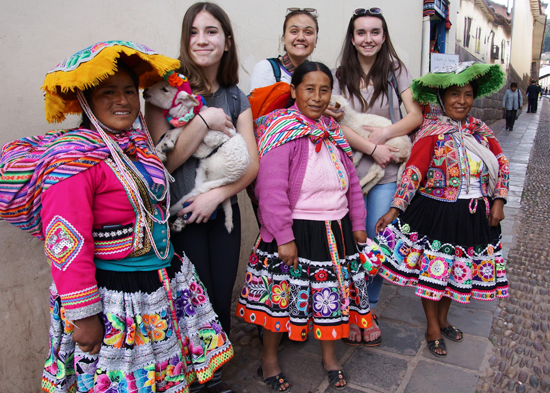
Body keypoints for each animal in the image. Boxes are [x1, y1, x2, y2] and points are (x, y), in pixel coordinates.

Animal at [144, 79, 252, 233]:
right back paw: (179, 222)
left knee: (192, 195)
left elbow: (180, 128)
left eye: (164, 89)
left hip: (211, 178)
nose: (145, 91)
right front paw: (160, 149)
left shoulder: (213, 135)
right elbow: (173, 130)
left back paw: (173, 213)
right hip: (208, 175)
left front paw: (166, 144)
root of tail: (234, 177)